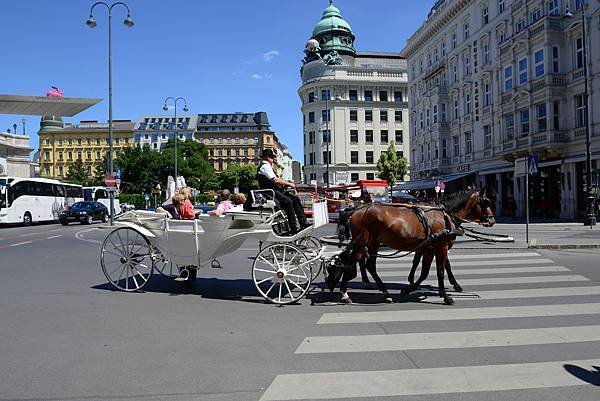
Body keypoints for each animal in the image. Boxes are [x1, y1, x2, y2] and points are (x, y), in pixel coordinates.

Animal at [330, 189, 494, 304]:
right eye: (486, 203)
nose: (492, 221)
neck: (444, 215)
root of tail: (358, 209)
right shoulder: (441, 246)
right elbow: (441, 270)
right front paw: (446, 296)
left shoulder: (429, 248)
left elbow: (425, 271)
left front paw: (410, 287)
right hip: (362, 243)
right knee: (352, 263)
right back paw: (344, 293)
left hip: (372, 244)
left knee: (368, 265)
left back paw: (385, 293)